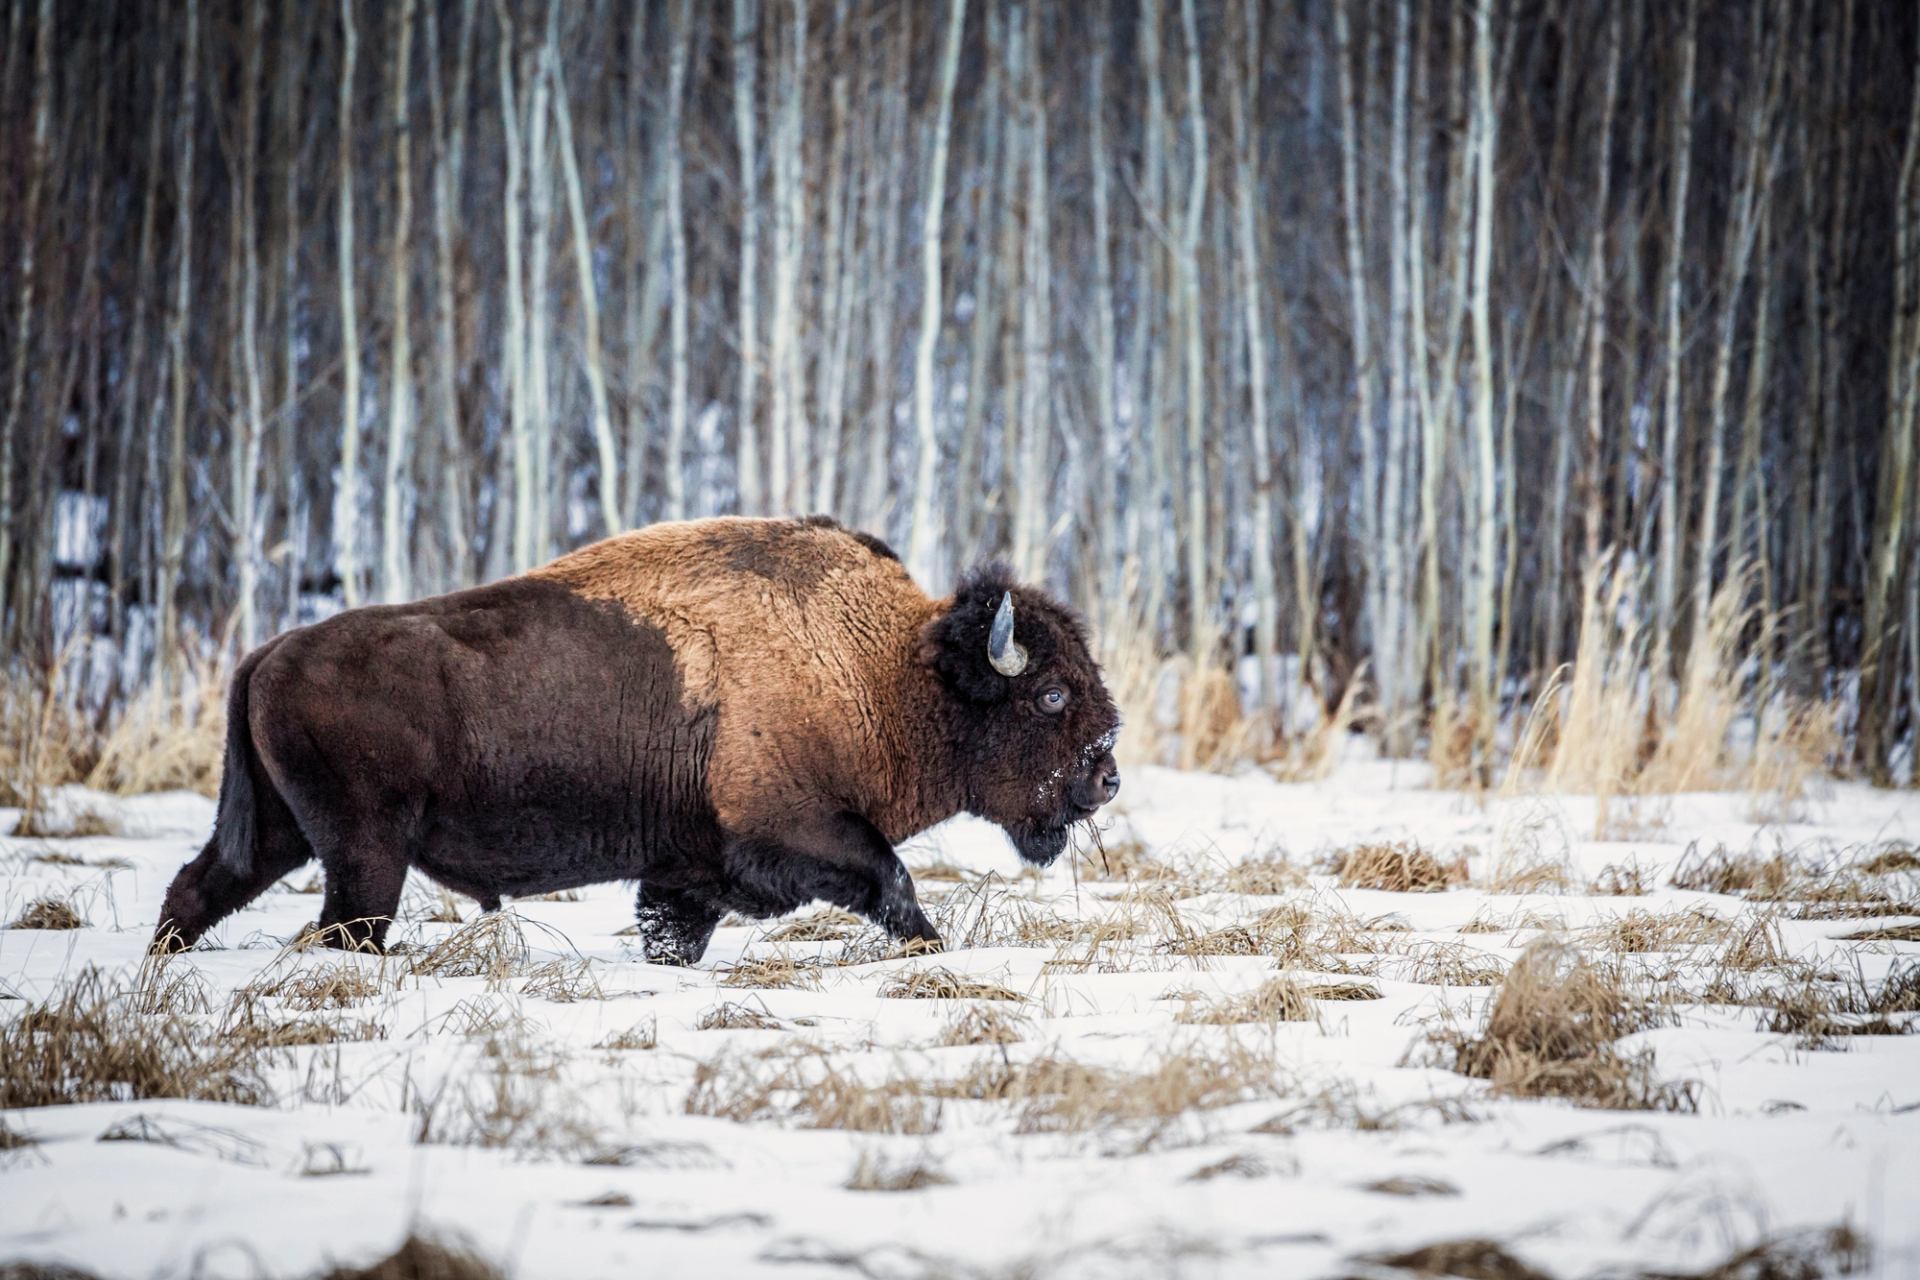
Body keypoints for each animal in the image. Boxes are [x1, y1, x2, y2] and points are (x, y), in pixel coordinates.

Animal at [152, 516, 1121, 963]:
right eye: (1050, 693)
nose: (1107, 772)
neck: (886, 666)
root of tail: (269, 651)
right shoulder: (796, 831)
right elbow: (895, 883)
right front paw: (933, 950)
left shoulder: (689, 876)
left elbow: (672, 930)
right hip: (364, 852)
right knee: (342, 925)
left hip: (282, 833)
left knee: (200, 888)